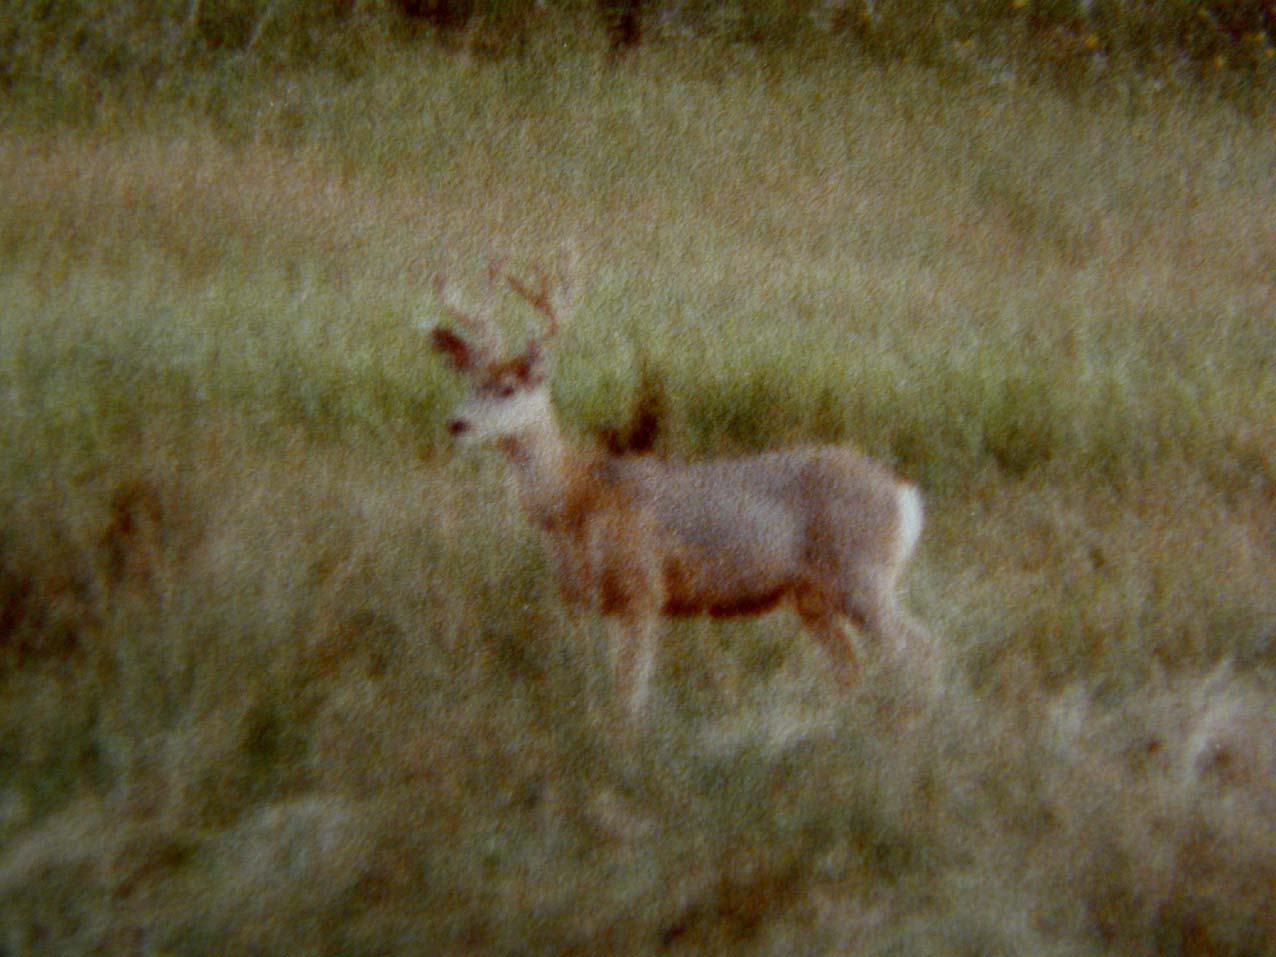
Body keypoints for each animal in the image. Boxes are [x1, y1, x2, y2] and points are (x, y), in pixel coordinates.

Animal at [428, 266, 928, 714]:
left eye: (508, 388)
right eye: (469, 382)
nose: (457, 423)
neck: (575, 499)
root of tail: (904, 493)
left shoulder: (642, 590)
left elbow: (629, 696)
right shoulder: (603, 605)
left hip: (862, 573)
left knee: (919, 650)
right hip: (813, 597)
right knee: (853, 668)